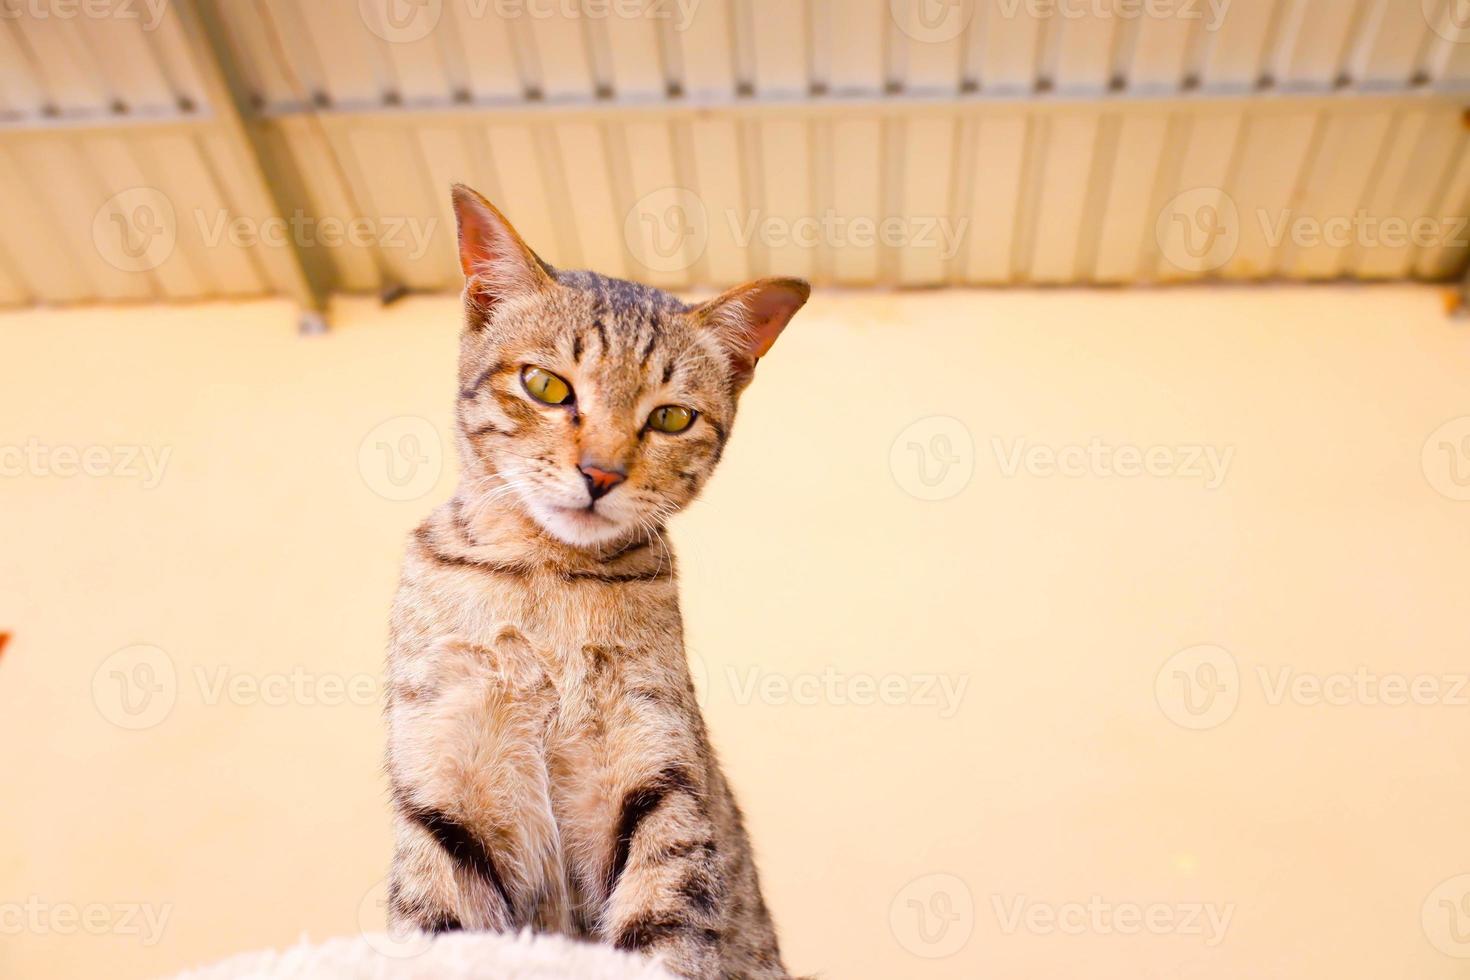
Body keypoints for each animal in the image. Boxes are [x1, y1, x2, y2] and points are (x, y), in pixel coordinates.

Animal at [385, 185, 811, 980]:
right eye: (546, 386)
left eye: (671, 417)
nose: (602, 473)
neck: (544, 573)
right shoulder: (442, 792)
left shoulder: (656, 780)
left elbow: (666, 932)